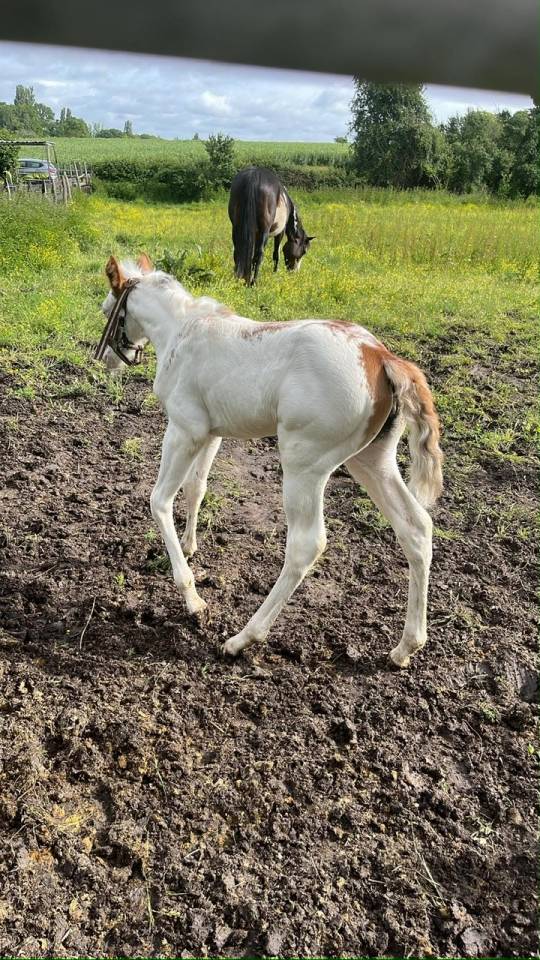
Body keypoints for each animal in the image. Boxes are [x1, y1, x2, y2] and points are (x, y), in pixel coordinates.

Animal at [96, 254, 443, 668]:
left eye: (107, 310)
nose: (104, 358)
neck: (183, 330)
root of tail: (380, 355)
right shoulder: (212, 433)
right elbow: (197, 487)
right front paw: (191, 544)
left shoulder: (184, 430)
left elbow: (159, 500)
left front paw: (192, 598)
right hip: (372, 461)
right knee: (416, 528)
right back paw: (407, 646)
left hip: (304, 465)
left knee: (306, 545)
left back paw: (242, 638)